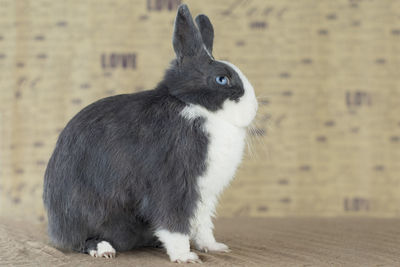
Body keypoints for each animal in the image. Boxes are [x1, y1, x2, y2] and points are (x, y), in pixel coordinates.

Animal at [42, 3, 258, 264]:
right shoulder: (173, 185)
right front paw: (185, 256)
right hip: (87, 212)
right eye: (221, 79)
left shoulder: (203, 195)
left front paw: (214, 247)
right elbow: (174, 224)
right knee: (80, 240)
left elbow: (202, 225)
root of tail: (55, 227)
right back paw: (103, 249)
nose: (254, 109)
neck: (195, 106)